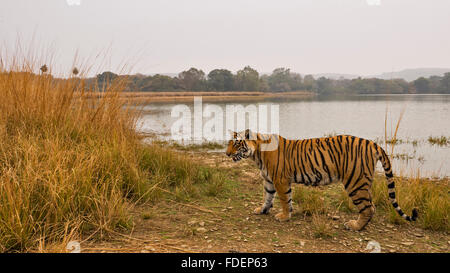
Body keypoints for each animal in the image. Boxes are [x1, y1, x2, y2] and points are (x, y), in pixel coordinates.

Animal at [225, 130, 418, 230]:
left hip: (355, 182)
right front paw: (262, 210)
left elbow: (284, 199)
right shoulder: (269, 180)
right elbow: (268, 197)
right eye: (229, 142)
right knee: (371, 206)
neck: (257, 153)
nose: (226, 154)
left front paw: (284, 216)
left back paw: (355, 226)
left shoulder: (280, 180)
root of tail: (372, 143)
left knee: (368, 207)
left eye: (237, 144)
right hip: (363, 182)